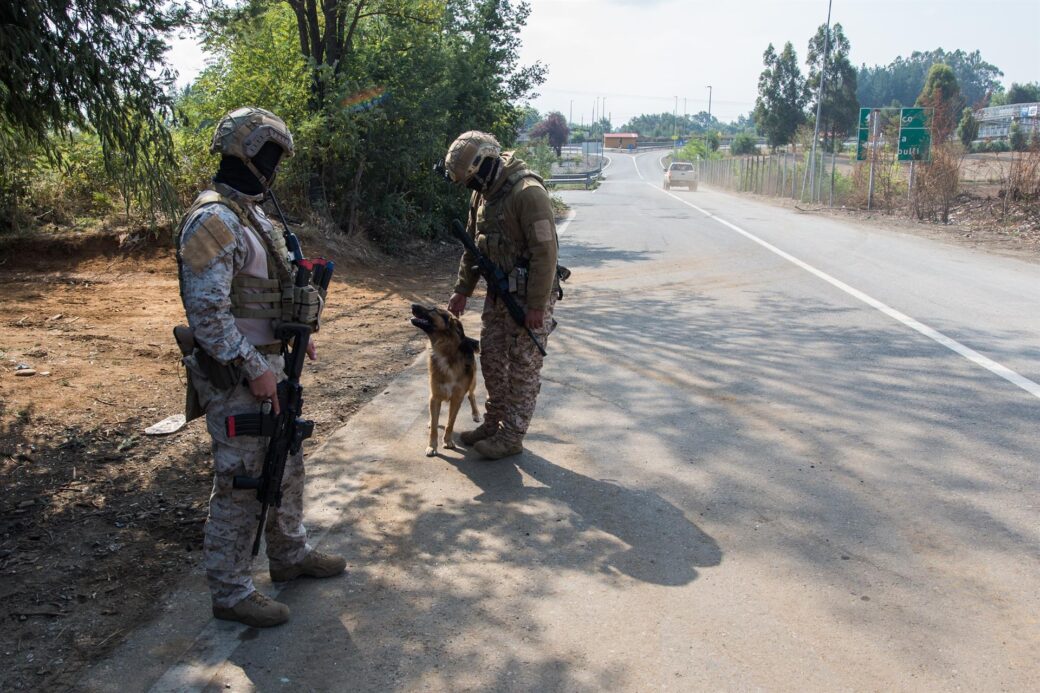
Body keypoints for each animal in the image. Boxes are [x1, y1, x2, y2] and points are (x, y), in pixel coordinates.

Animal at [411, 301, 480, 453]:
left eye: (434, 310)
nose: (412, 305)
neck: (445, 352)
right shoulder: (435, 396)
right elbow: (434, 426)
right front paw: (432, 446)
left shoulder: (457, 399)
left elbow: (450, 423)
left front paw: (448, 441)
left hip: (473, 380)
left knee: (472, 395)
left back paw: (476, 413)